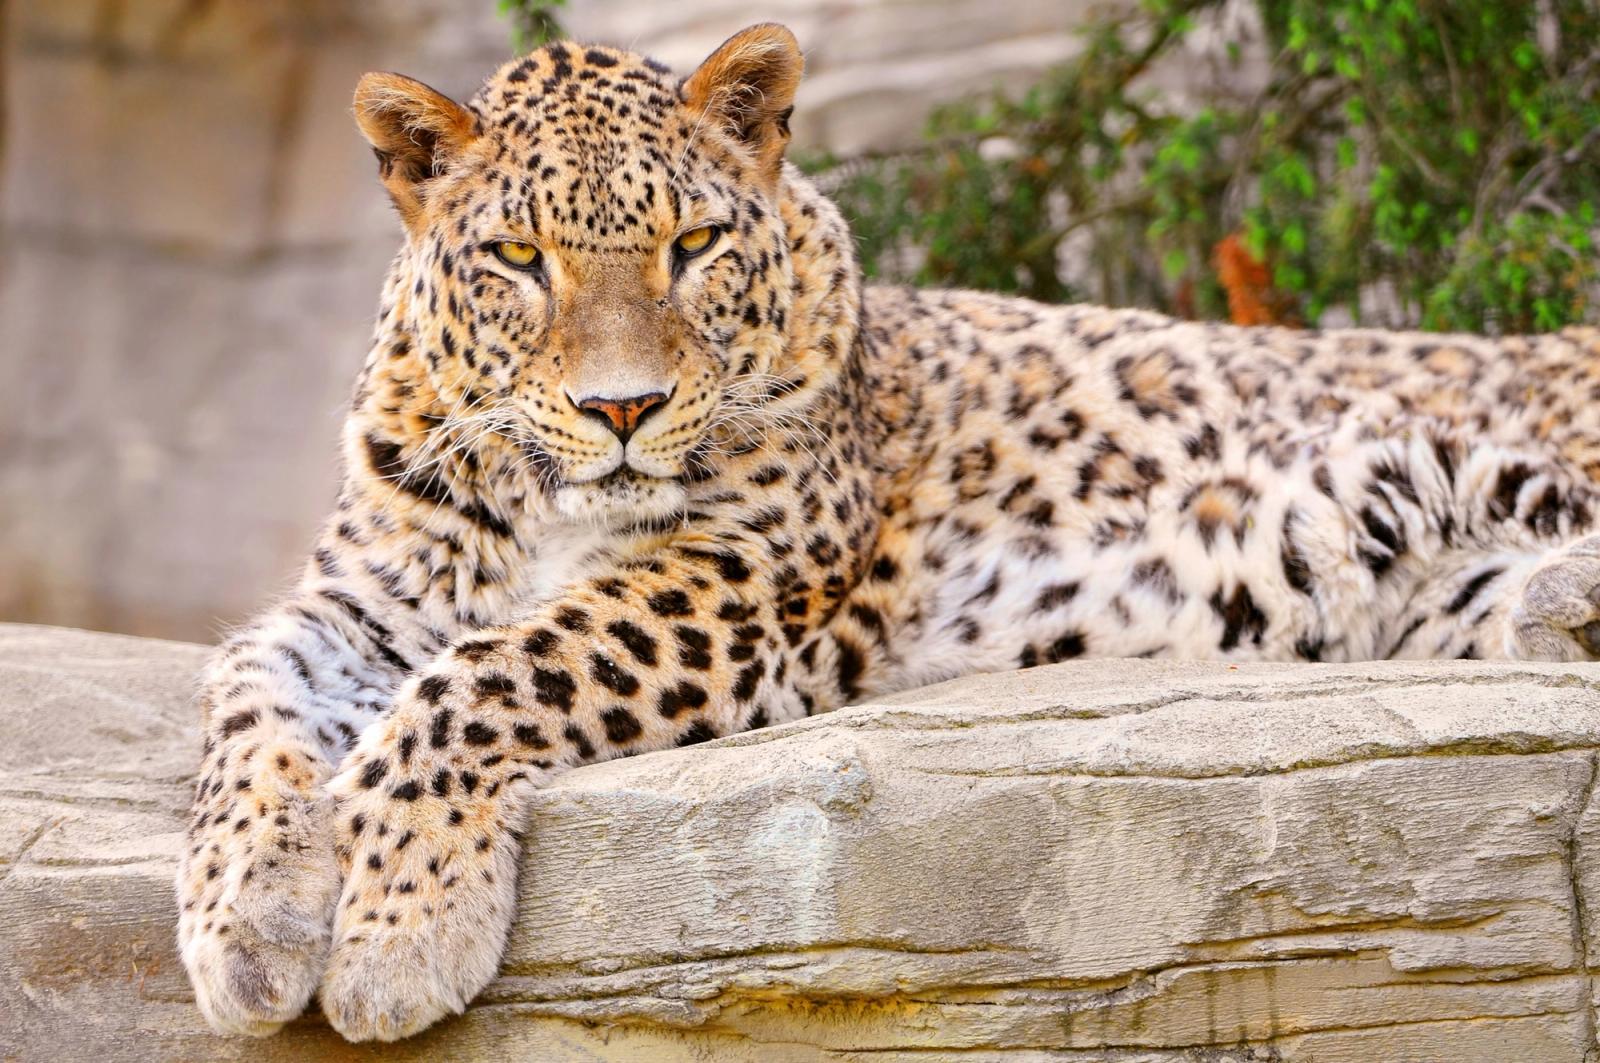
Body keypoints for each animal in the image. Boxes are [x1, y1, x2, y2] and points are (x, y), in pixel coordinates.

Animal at [176, 22, 1600, 1043]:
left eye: (694, 244)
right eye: (520, 259)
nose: (621, 408)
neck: (541, 504)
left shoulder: (741, 576)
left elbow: (489, 673)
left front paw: (394, 927)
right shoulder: (360, 598)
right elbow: (242, 694)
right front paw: (250, 914)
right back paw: (1557, 612)